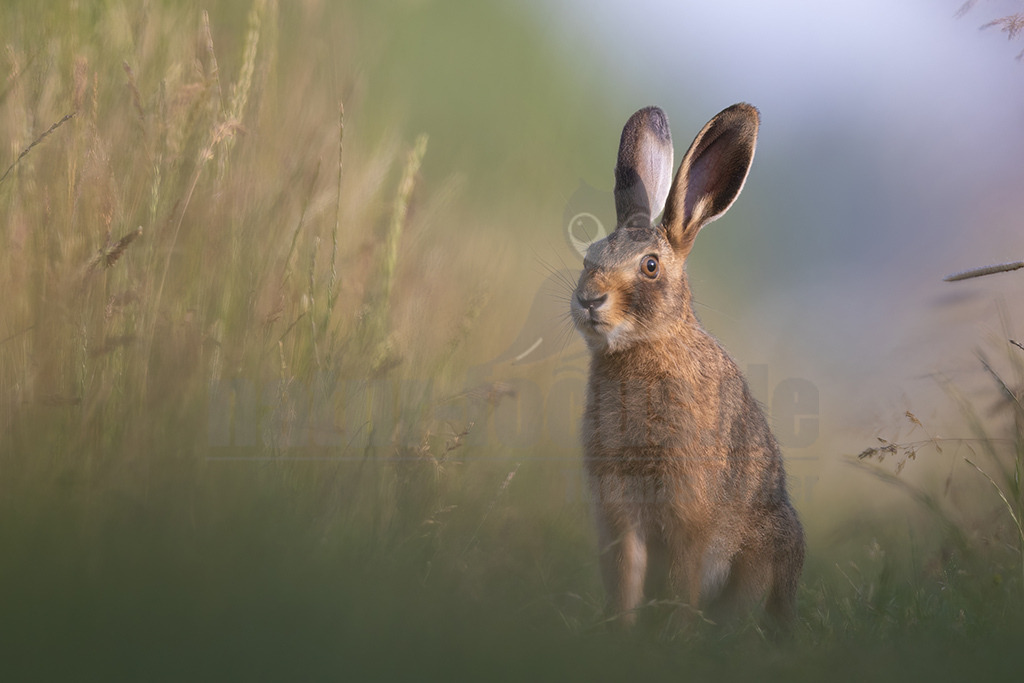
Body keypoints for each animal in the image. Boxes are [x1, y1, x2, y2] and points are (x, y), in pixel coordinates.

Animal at [571, 104, 804, 628]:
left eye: (650, 266)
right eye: (588, 258)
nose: (589, 299)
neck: (648, 346)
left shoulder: (687, 514)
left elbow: (682, 583)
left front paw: (673, 635)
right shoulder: (618, 514)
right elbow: (627, 577)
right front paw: (619, 630)